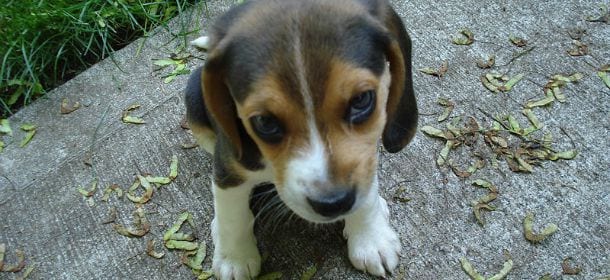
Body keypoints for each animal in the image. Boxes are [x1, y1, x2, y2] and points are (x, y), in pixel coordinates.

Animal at [183, 0, 416, 278]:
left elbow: (366, 190)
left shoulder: (366, 155)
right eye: (265, 122)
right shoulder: (228, 166)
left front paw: (371, 238)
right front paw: (235, 259)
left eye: (362, 99)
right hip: (194, 102)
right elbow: (232, 215)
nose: (333, 203)